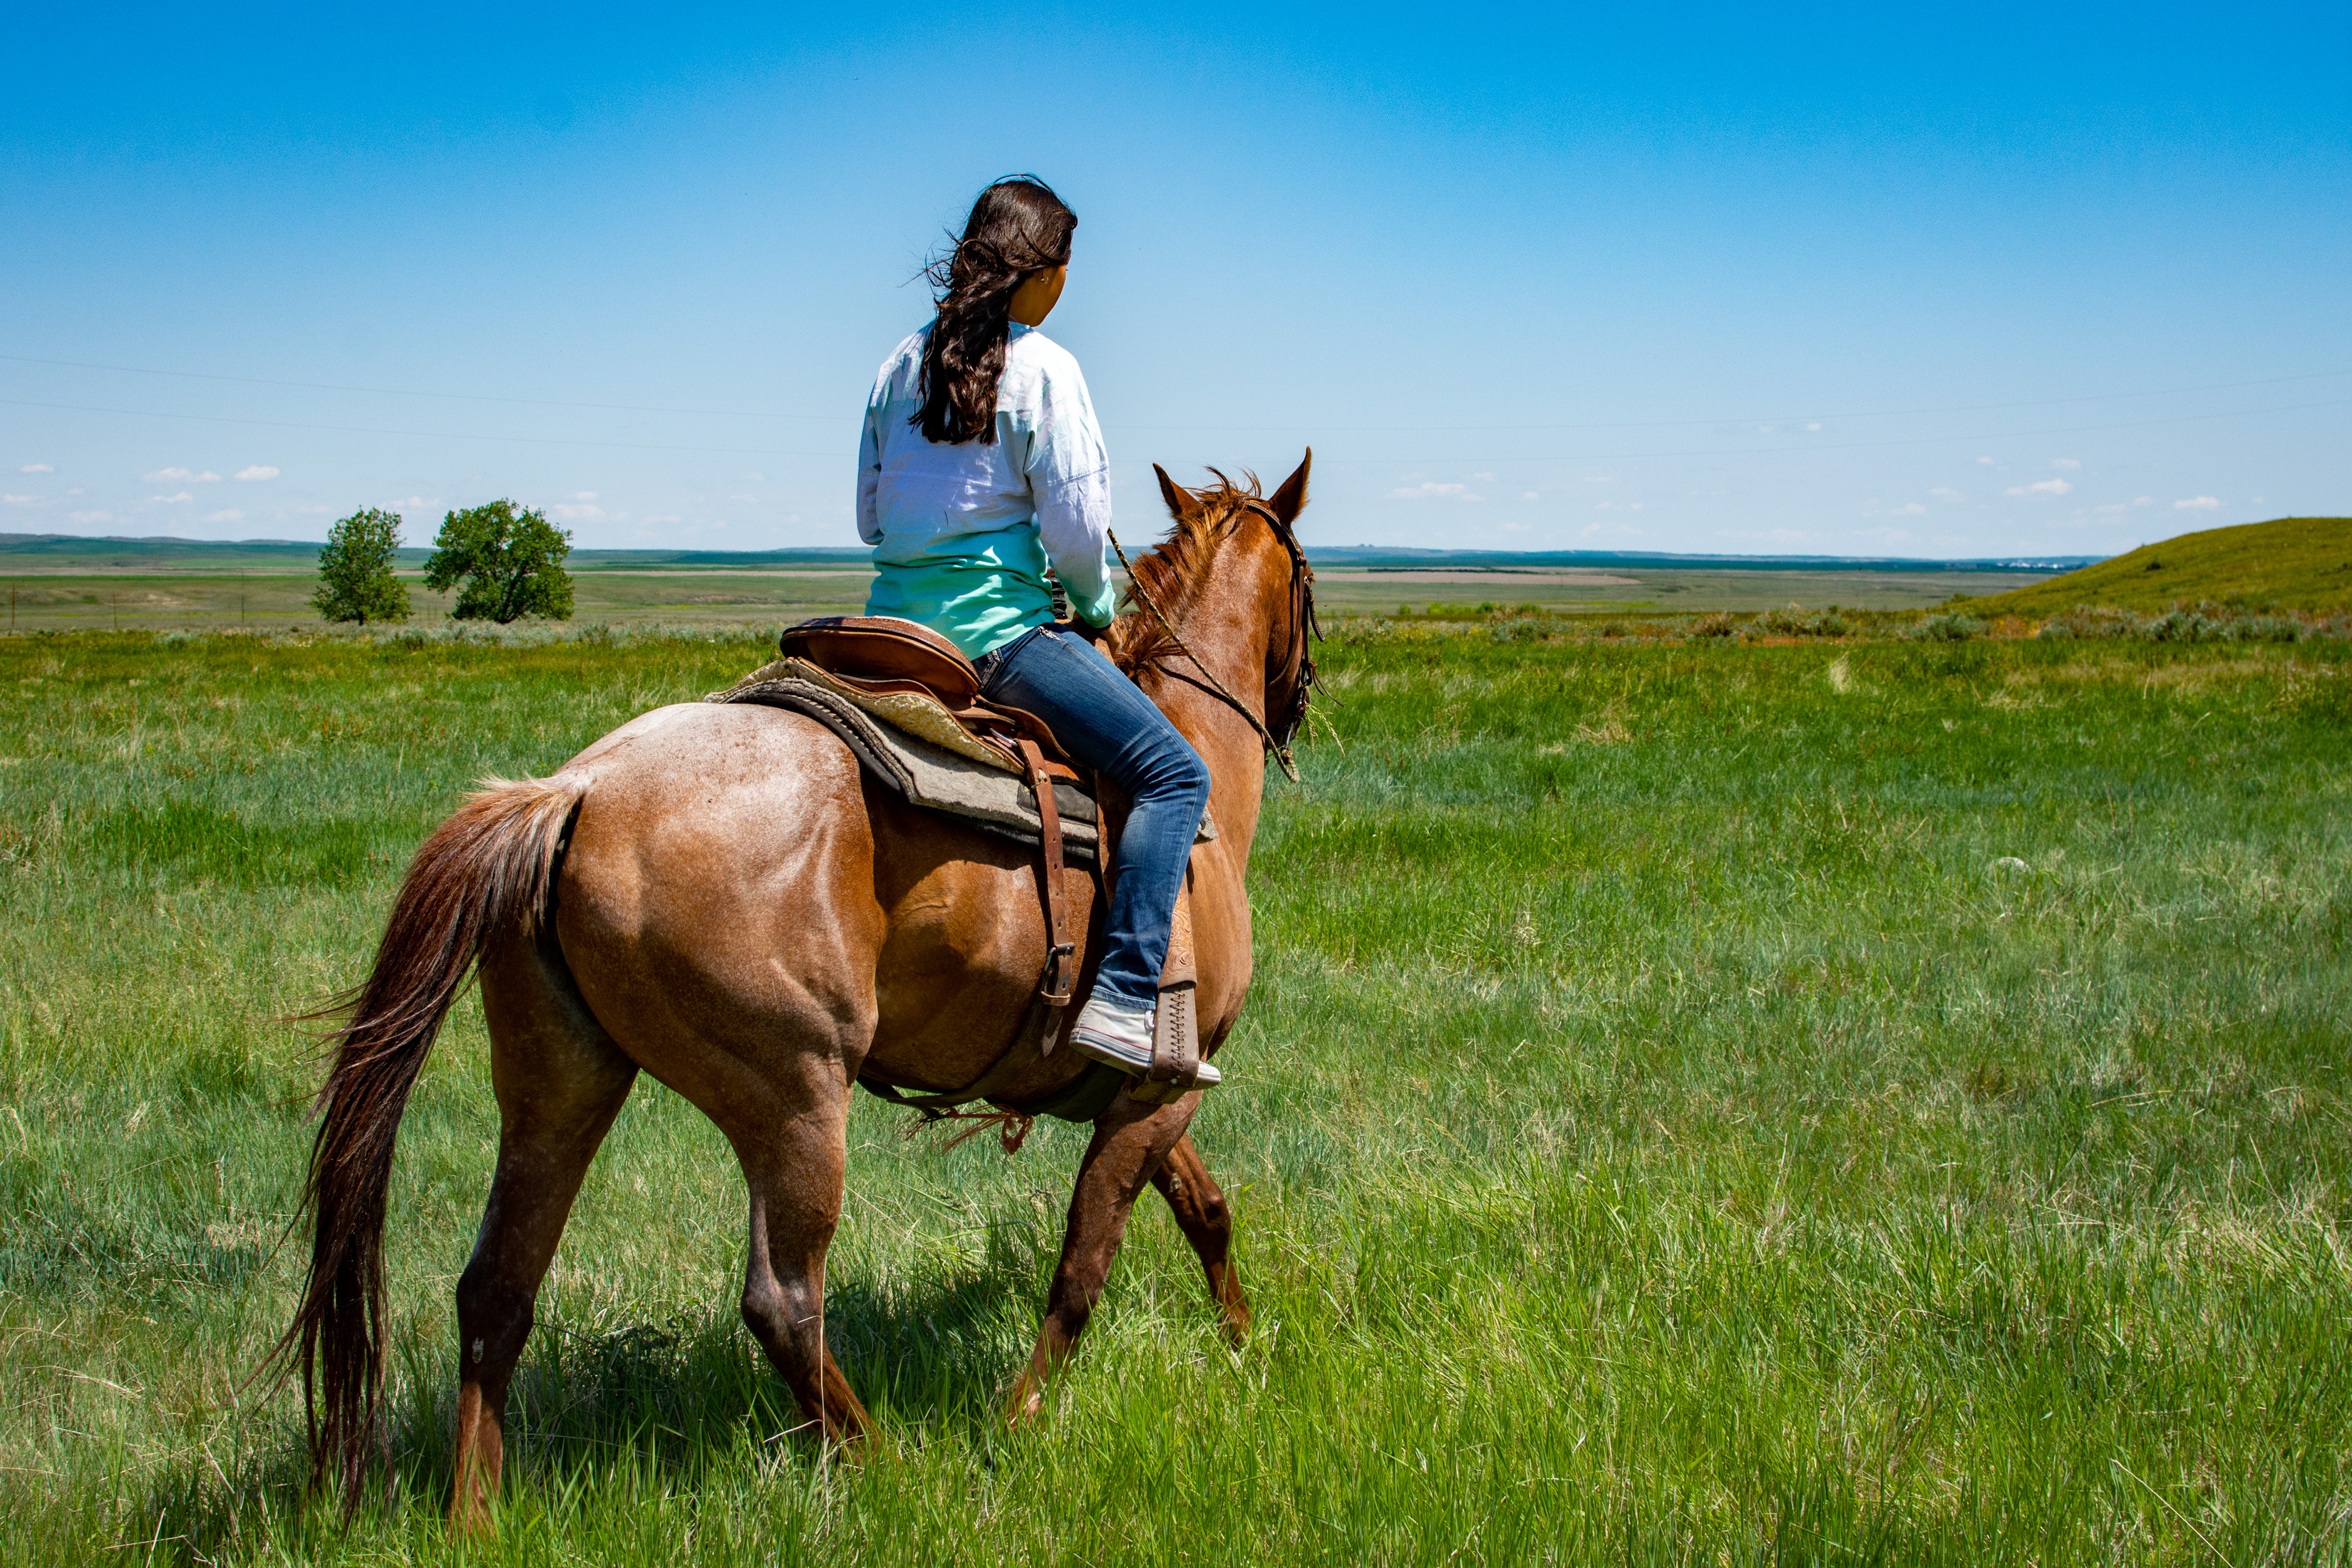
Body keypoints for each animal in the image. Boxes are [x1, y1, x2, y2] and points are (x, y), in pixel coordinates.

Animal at [277, 451, 1326, 1523]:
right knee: (780, 1300)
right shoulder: (1159, 1089)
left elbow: (1204, 1210)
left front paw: (1247, 1347)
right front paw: (1019, 1421)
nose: (1297, 708)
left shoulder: (1137, 1091)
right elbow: (1086, 1262)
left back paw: (475, 1515)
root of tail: (570, 794)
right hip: (794, 1097)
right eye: (1308, 585)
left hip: (558, 1083)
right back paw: (886, 1468)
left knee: (497, 1286)